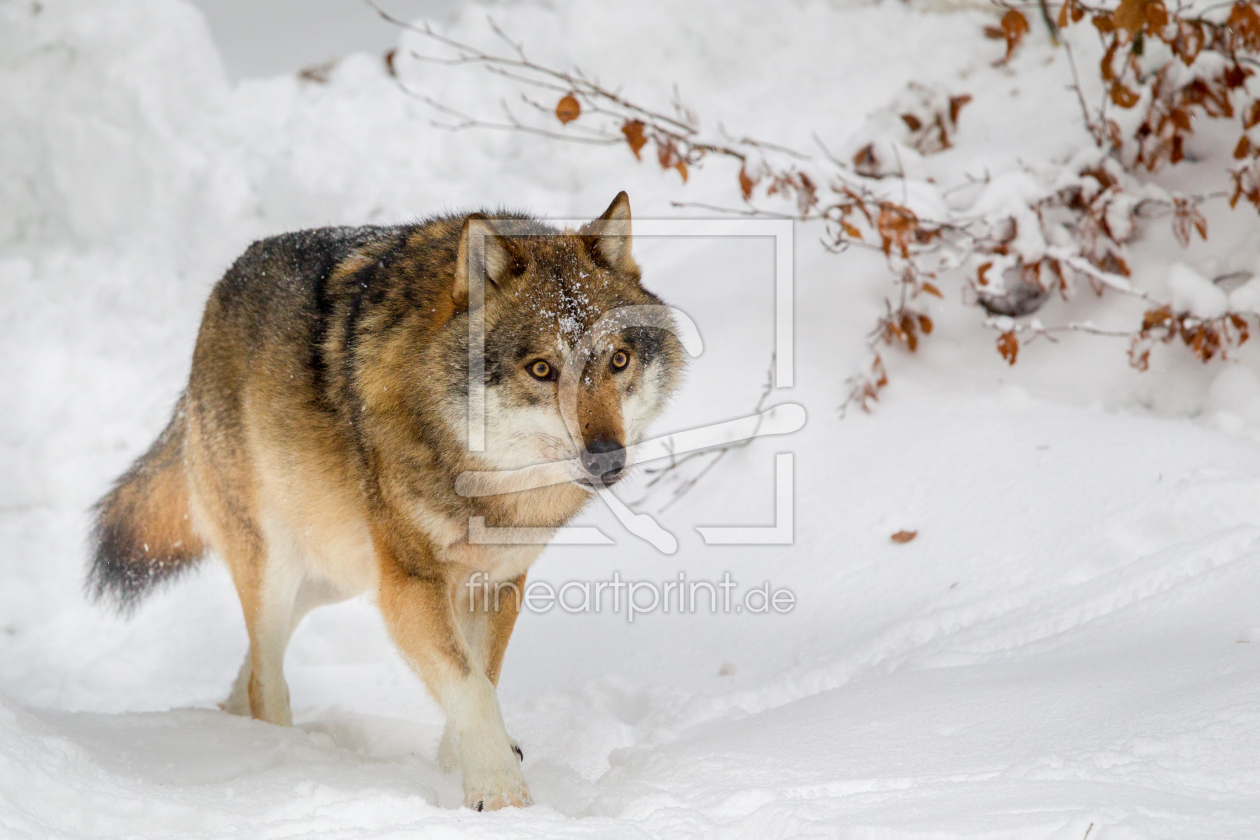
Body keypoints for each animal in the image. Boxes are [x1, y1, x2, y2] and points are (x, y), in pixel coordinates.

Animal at [87, 193, 685, 811]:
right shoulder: (411, 585)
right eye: (542, 369)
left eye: (618, 360)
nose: (607, 459)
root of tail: (218, 295)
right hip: (278, 566)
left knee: (250, 667)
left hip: (335, 574)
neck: (486, 480)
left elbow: (482, 676)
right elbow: (471, 686)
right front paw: (499, 793)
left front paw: (457, 766)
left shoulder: (498, 583)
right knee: (264, 676)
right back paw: (276, 755)